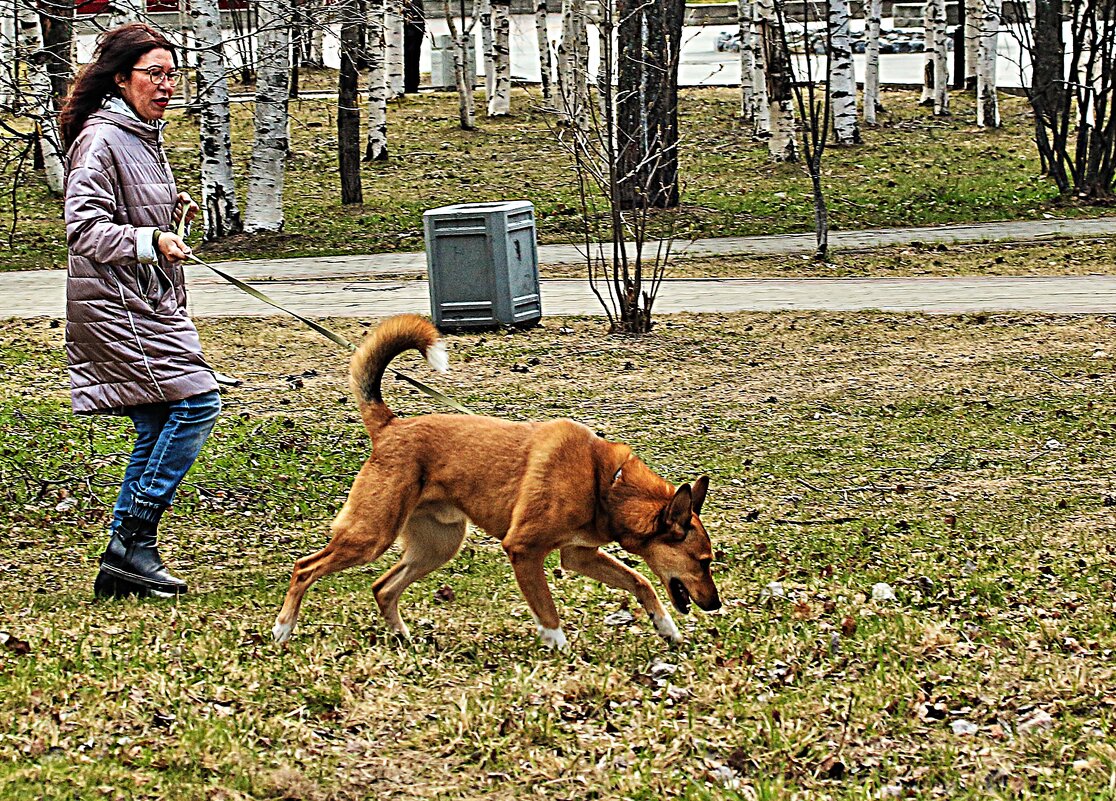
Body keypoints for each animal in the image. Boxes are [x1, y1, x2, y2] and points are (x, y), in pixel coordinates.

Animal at [274, 316, 718, 651]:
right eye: (703, 562)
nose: (714, 605)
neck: (605, 481)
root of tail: (390, 426)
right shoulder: (523, 550)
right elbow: (549, 612)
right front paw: (561, 649)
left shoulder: (579, 555)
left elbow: (641, 582)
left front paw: (667, 629)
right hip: (371, 535)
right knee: (304, 568)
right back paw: (282, 630)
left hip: (437, 546)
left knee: (383, 588)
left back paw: (403, 637)